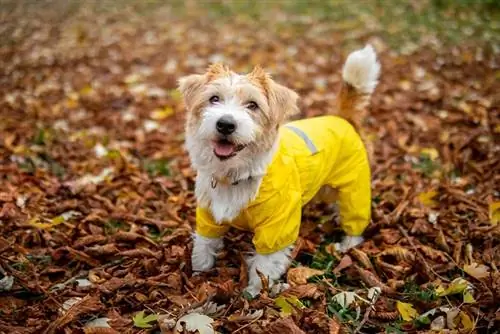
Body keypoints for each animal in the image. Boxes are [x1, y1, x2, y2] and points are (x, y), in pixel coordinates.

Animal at [180, 45, 378, 298]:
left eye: (252, 105)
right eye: (214, 99)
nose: (225, 124)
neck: (236, 175)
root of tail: (342, 118)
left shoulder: (277, 226)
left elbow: (264, 265)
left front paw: (254, 293)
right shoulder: (208, 214)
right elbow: (204, 245)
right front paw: (198, 274)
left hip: (354, 188)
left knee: (355, 217)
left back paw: (348, 245)